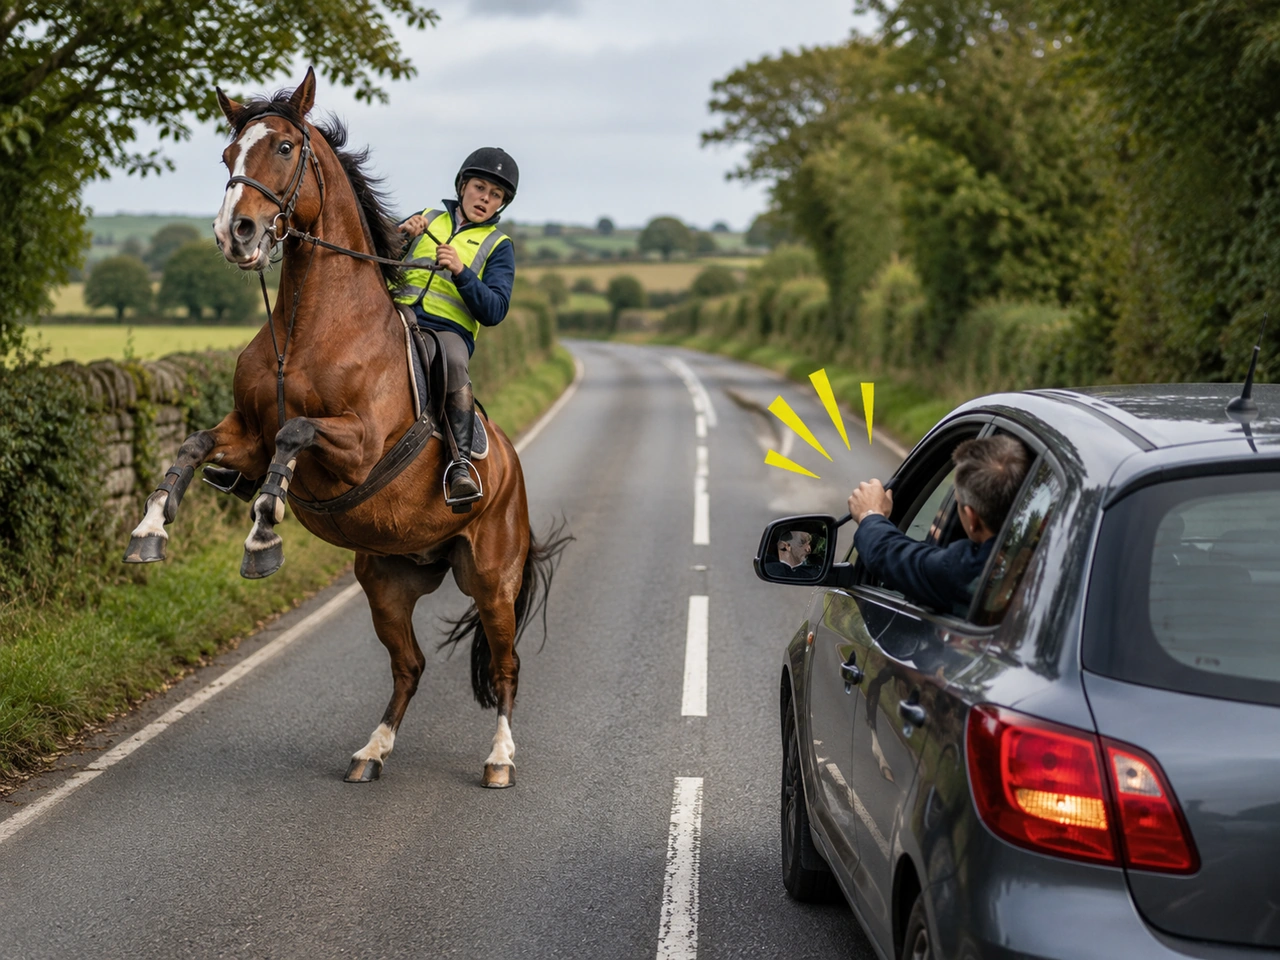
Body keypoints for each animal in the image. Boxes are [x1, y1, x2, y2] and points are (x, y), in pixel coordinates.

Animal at [123, 68, 567, 789]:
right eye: (227, 154)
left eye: (282, 148)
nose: (235, 233)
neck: (308, 329)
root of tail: (513, 472)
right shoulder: (245, 435)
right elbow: (196, 444)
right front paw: (150, 529)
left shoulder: (356, 448)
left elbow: (296, 433)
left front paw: (263, 534)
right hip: (386, 580)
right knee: (409, 665)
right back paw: (372, 751)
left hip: (492, 579)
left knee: (506, 665)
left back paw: (499, 759)